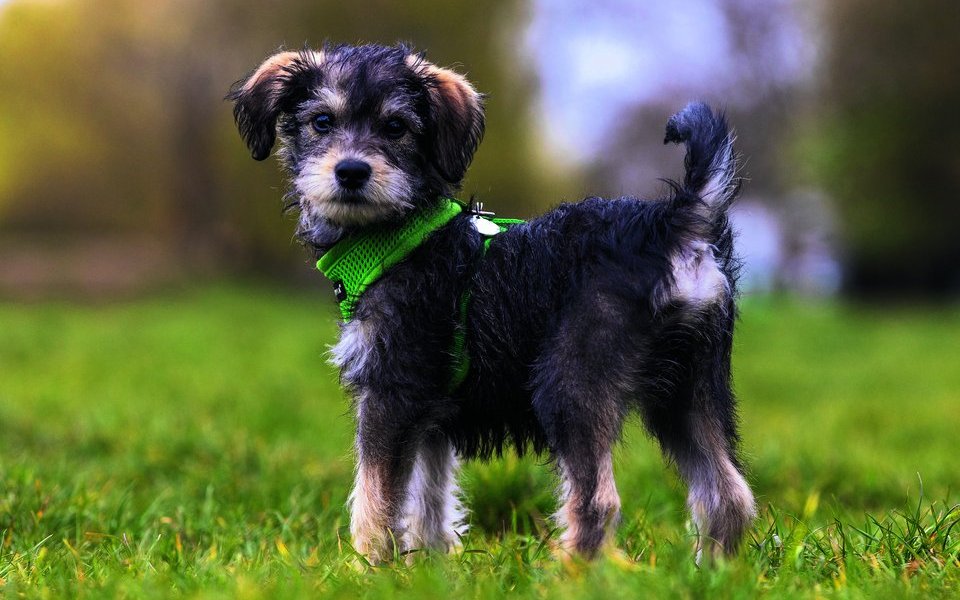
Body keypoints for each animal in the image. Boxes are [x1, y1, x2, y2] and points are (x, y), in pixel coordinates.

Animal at [227, 43, 756, 564]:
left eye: (395, 127)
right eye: (321, 121)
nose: (351, 171)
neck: (402, 234)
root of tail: (676, 223)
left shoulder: (391, 391)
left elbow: (375, 496)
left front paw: (367, 567)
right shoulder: (432, 415)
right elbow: (428, 497)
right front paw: (429, 565)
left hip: (572, 384)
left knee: (598, 501)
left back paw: (569, 574)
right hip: (690, 389)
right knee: (728, 495)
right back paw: (713, 574)